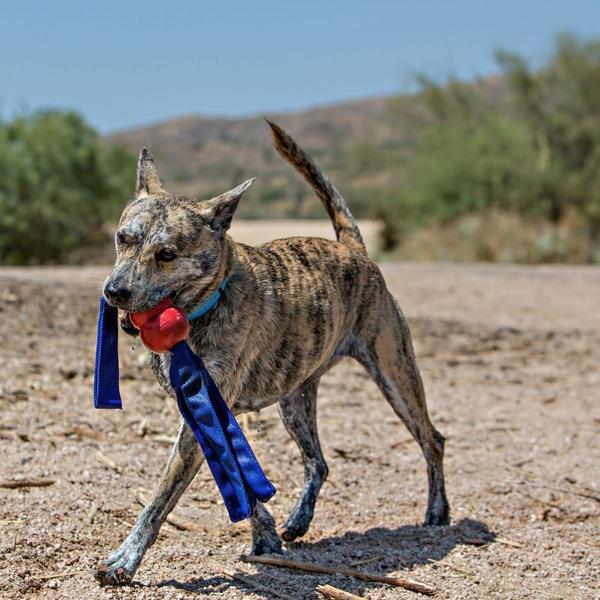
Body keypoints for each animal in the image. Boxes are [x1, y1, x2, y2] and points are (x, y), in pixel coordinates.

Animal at [96, 120, 448, 584]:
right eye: (123, 238)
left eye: (166, 254)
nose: (114, 292)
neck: (205, 305)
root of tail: (353, 249)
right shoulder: (210, 420)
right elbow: (245, 486)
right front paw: (265, 536)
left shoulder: (200, 421)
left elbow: (160, 499)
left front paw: (124, 559)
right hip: (294, 401)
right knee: (319, 463)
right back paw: (299, 521)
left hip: (396, 375)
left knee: (433, 439)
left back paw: (438, 512)